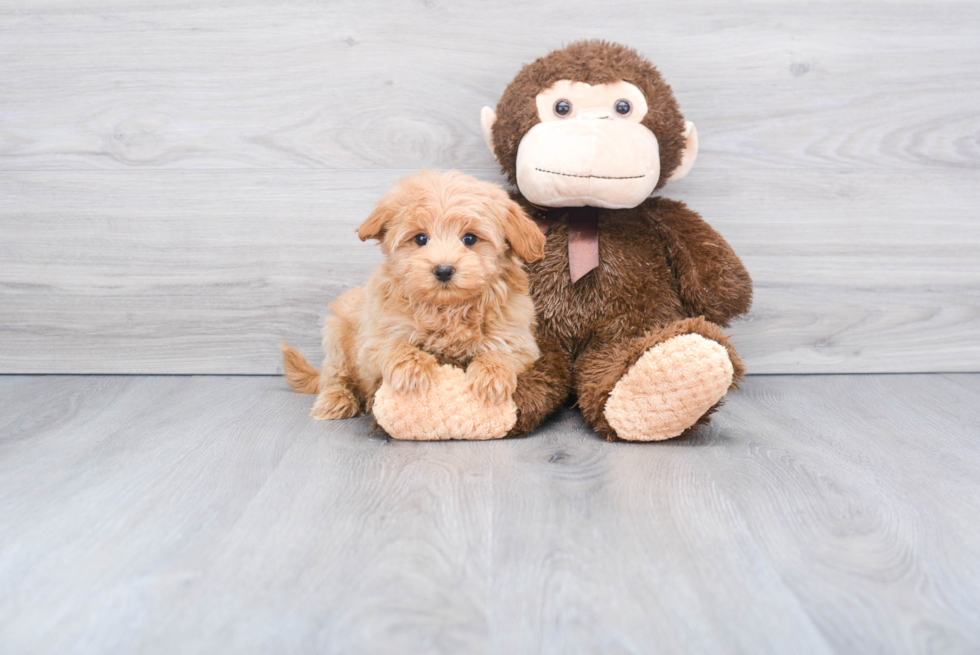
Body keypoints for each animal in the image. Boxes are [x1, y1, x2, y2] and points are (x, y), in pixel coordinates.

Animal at [280, 169, 548, 422]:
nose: (443, 270)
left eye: (470, 238)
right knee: (335, 376)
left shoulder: (519, 338)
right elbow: (393, 344)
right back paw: (336, 399)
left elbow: (503, 351)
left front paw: (491, 378)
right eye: (420, 238)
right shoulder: (372, 340)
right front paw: (412, 370)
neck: (447, 309)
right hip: (336, 336)